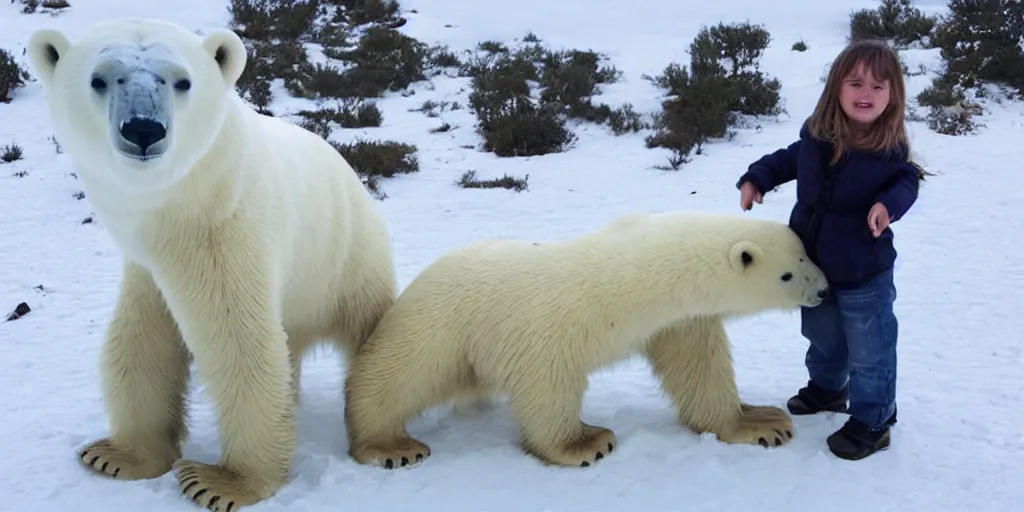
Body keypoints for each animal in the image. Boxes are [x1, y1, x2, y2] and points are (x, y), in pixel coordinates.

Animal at [28, 18, 395, 509]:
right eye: (99, 79)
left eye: (182, 81)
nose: (143, 129)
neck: (178, 210)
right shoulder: (146, 265)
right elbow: (139, 340)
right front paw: (117, 456)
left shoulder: (224, 234)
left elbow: (237, 341)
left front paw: (222, 482)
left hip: (343, 256)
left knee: (368, 329)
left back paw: (386, 444)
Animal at [344, 209, 831, 468]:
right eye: (787, 274)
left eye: (807, 253)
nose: (824, 290)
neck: (634, 281)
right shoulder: (548, 326)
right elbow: (548, 387)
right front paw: (586, 443)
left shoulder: (676, 321)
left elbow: (697, 368)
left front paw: (762, 421)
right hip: (439, 330)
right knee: (394, 377)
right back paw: (391, 446)